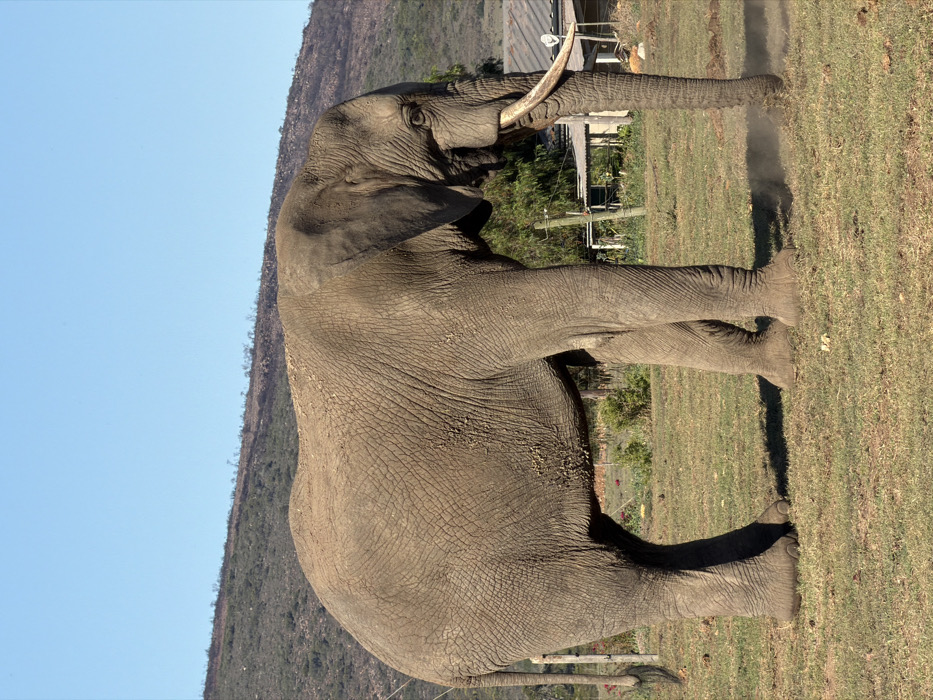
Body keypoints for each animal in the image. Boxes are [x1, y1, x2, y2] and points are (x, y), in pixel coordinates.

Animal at [276, 39, 800, 689]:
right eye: (415, 117)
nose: (778, 88)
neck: (309, 190)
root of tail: (443, 675)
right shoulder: (424, 309)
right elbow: (589, 294)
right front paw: (790, 286)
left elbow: (609, 338)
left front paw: (783, 359)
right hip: (498, 600)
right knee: (616, 591)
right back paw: (785, 575)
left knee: (625, 553)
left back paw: (777, 522)